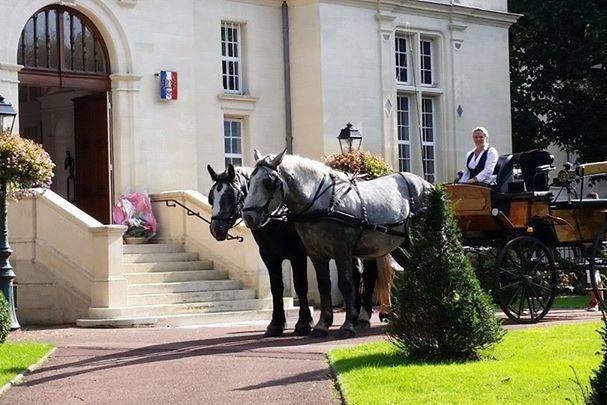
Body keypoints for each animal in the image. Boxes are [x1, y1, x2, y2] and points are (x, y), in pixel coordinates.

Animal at [209, 163, 380, 334]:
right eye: (212, 197)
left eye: (230, 194)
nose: (216, 229)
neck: (279, 216)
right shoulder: (269, 256)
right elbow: (276, 287)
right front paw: (276, 324)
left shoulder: (298, 254)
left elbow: (300, 284)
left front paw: (303, 323)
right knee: (356, 274)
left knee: (369, 275)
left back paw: (363, 317)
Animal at [242, 150, 432, 336]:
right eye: (250, 181)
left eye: (267, 182)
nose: (248, 216)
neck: (322, 202)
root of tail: (427, 185)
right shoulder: (315, 254)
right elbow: (323, 284)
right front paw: (322, 324)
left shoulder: (341, 250)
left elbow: (346, 283)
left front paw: (347, 325)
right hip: (401, 246)